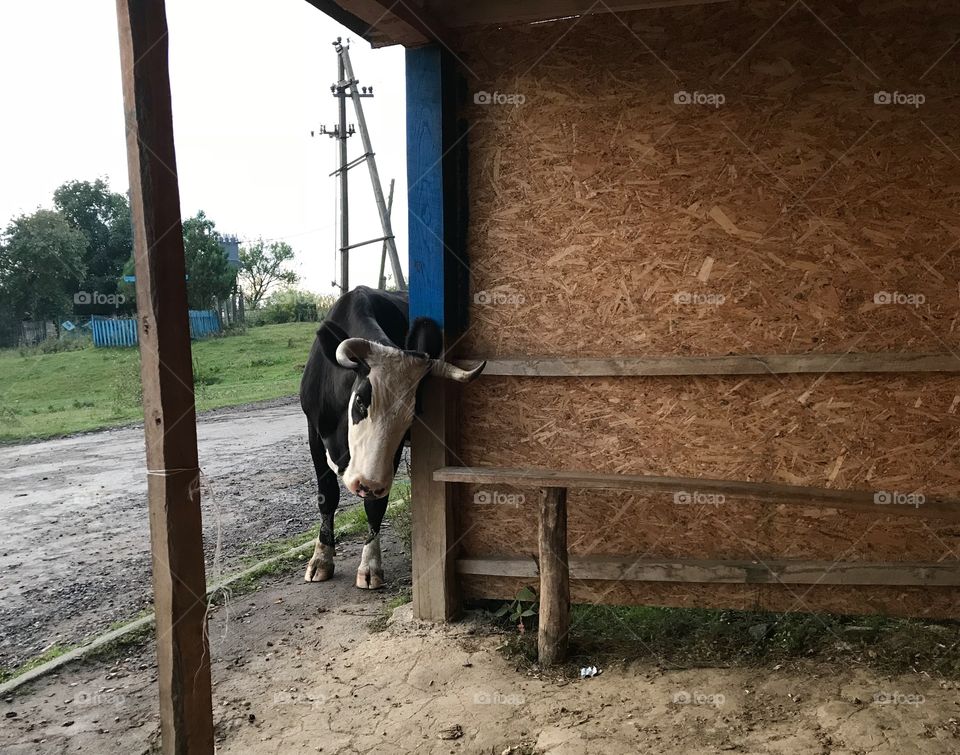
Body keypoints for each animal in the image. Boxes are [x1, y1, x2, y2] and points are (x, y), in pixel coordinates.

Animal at [296, 286, 484, 588]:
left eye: (412, 417)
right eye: (361, 401)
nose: (365, 483)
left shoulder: (390, 457)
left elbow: (375, 505)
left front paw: (370, 565)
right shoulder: (313, 431)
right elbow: (327, 496)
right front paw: (322, 558)